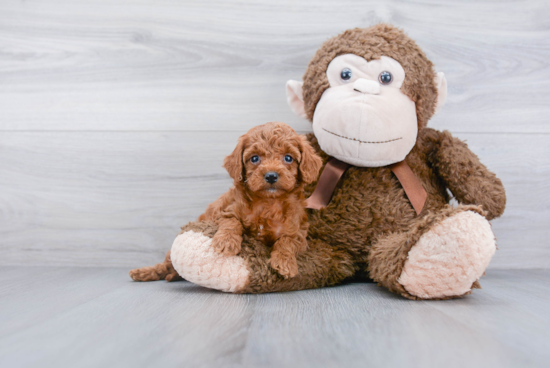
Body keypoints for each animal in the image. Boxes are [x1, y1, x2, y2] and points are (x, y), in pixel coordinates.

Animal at [199, 122, 324, 278]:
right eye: (254, 158)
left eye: (288, 158)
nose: (271, 176)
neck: (269, 202)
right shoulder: (227, 210)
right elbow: (231, 221)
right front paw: (226, 241)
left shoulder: (298, 232)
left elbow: (287, 241)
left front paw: (285, 262)